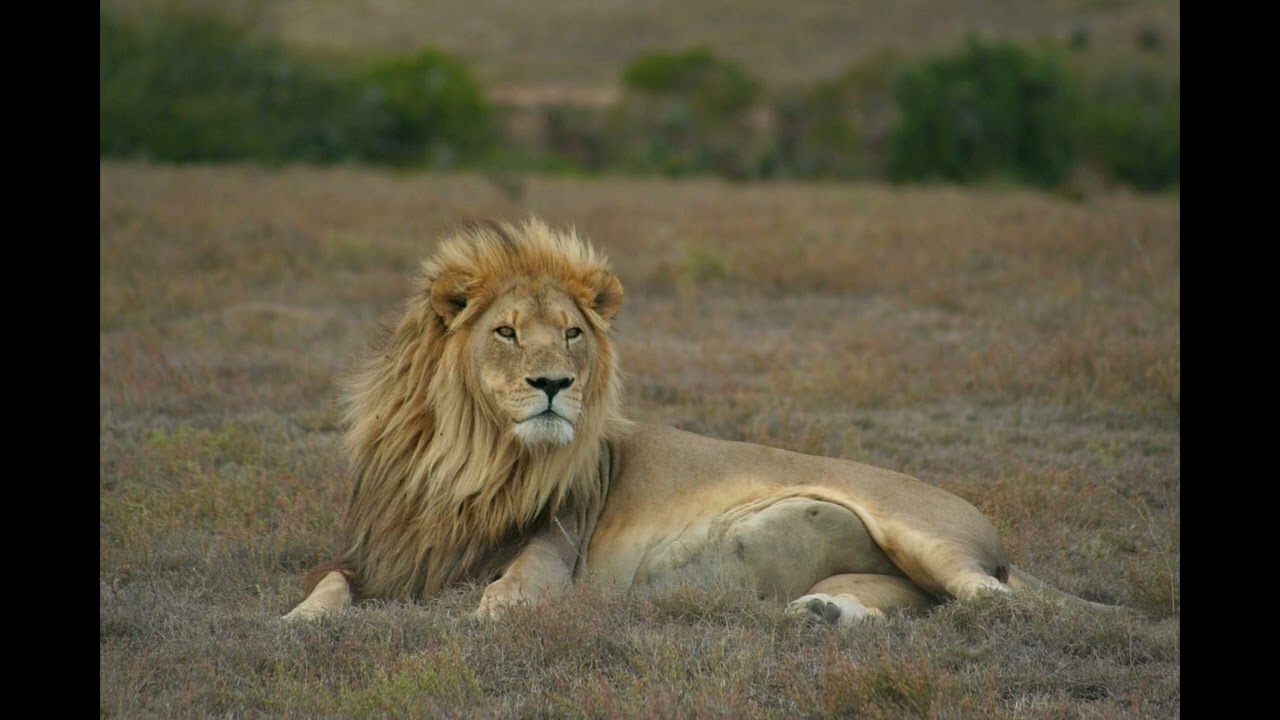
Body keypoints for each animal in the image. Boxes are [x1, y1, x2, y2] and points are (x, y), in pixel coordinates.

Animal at [285, 216, 1109, 626]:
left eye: (572, 334)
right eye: (507, 333)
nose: (553, 384)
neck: (471, 456)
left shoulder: (555, 550)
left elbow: (504, 599)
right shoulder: (381, 552)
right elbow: (329, 586)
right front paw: (299, 620)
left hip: (923, 533)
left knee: (997, 602)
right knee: (925, 603)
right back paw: (822, 613)